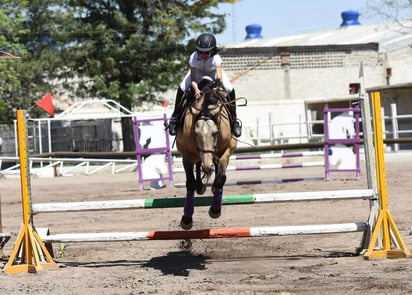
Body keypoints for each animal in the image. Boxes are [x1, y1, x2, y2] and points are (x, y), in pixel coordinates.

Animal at [175, 78, 238, 231]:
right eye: (196, 134)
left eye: (215, 133)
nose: (207, 166)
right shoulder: (187, 155)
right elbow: (190, 183)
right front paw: (187, 219)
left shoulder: (228, 149)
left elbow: (221, 178)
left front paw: (215, 210)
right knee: (199, 165)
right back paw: (201, 186)